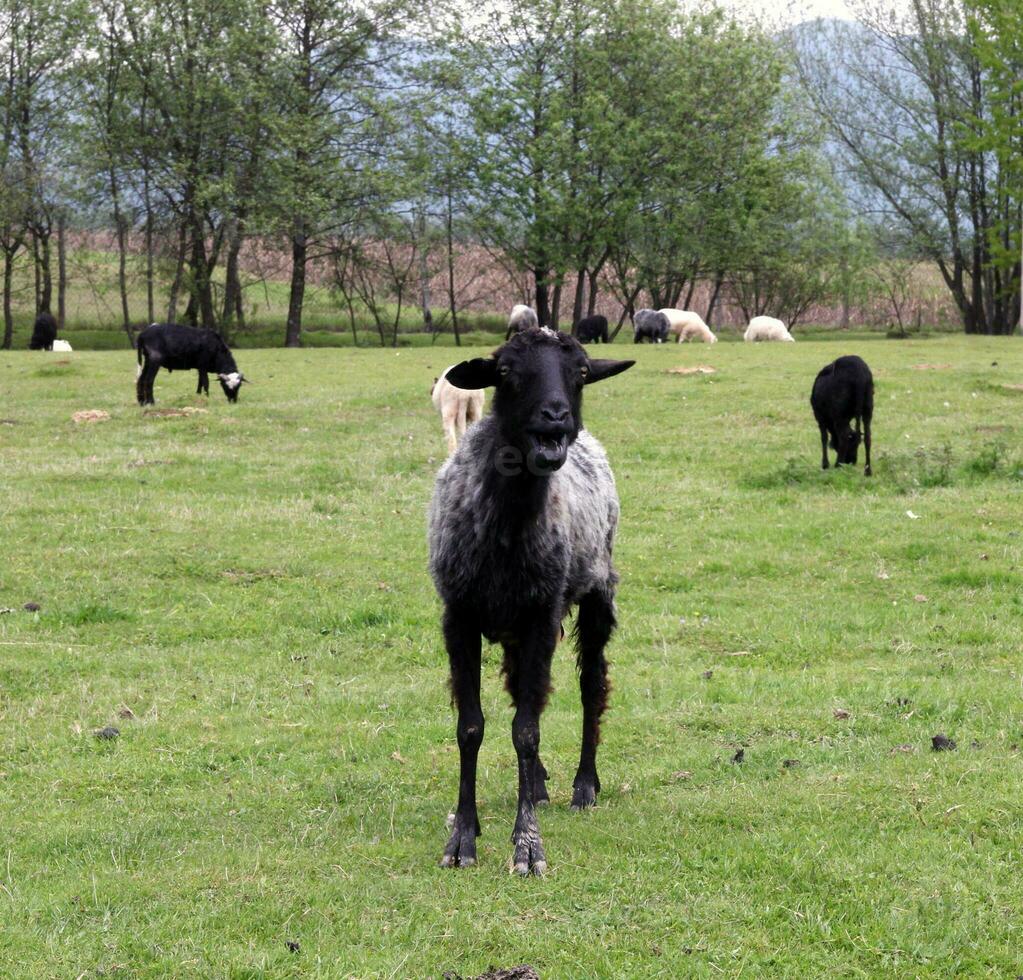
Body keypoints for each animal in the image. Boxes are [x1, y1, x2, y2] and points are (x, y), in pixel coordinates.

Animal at [423, 327, 630, 875]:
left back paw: (584, 785)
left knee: (590, 687)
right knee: (523, 691)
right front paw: (463, 838)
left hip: (595, 592)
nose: (556, 416)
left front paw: (527, 846)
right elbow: (471, 727)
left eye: (581, 371)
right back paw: (535, 783)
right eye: (505, 373)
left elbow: (527, 731)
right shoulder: (459, 615)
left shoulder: (541, 613)